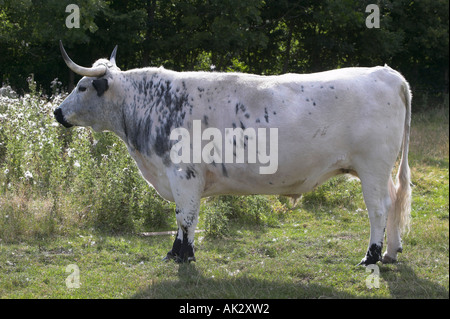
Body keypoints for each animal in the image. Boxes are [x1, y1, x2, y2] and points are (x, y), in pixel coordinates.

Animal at [55, 42, 412, 268]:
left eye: (83, 86)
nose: (57, 112)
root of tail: (388, 73)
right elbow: (183, 219)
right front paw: (176, 254)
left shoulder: (184, 175)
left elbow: (185, 217)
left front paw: (184, 256)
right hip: (381, 169)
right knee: (394, 200)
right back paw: (392, 252)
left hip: (372, 167)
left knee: (378, 209)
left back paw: (371, 257)